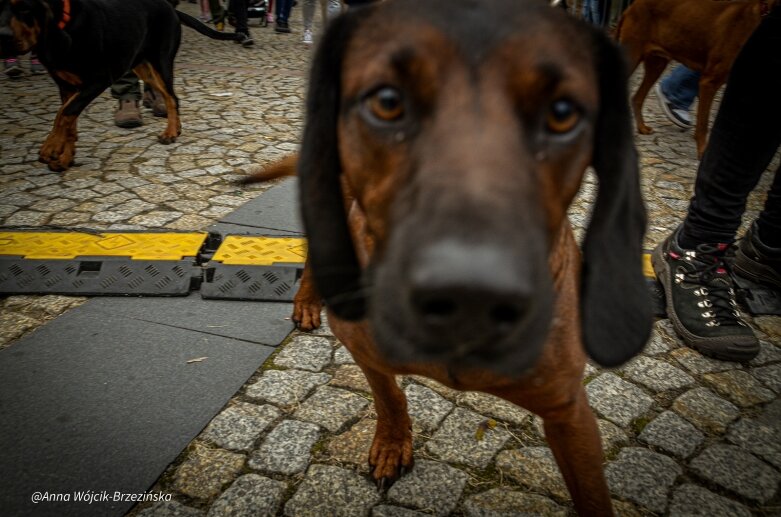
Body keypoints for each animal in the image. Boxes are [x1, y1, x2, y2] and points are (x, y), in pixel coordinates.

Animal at [0, 0, 238, 171]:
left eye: (24, 8)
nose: (3, 36)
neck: (68, 24)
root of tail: (170, 7)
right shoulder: (66, 85)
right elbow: (68, 120)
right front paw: (65, 157)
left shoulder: (98, 80)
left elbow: (65, 114)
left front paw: (50, 148)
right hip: (141, 66)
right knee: (169, 95)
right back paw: (175, 128)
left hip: (160, 61)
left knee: (171, 96)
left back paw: (170, 132)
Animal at [244, 1, 652, 512]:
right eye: (387, 101)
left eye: (562, 114)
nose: (469, 293)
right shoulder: (366, 352)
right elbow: (388, 395)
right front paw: (393, 443)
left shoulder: (569, 411)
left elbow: (593, 494)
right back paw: (306, 301)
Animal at [616, 0, 772, 157]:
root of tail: (633, 5)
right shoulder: (709, 82)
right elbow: (703, 125)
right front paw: (703, 153)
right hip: (632, 56)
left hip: (657, 63)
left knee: (637, 97)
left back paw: (642, 128)